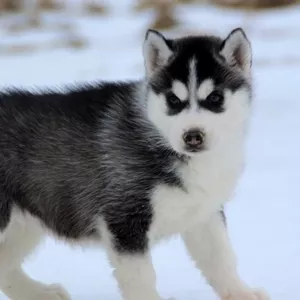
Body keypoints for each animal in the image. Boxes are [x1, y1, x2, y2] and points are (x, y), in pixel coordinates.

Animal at [0, 28, 270, 300]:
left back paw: (41, 293)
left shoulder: (203, 212)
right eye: (173, 100)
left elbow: (220, 257)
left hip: (25, 221)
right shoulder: (124, 218)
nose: (192, 136)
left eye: (215, 97)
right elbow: (141, 277)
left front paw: (241, 293)